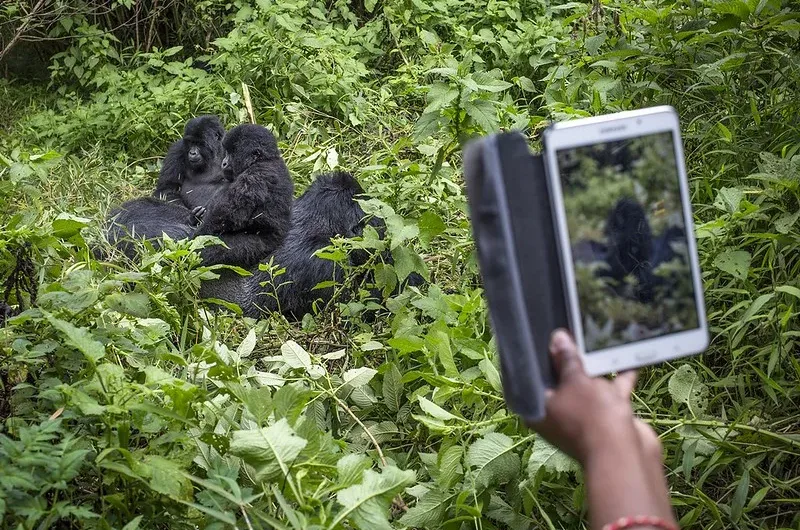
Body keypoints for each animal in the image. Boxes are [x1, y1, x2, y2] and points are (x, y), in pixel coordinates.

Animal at [191, 122, 294, 264]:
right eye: (226, 152)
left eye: (232, 153)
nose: (224, 163)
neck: (264, 159)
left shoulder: (255, 177)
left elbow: (227, 215)